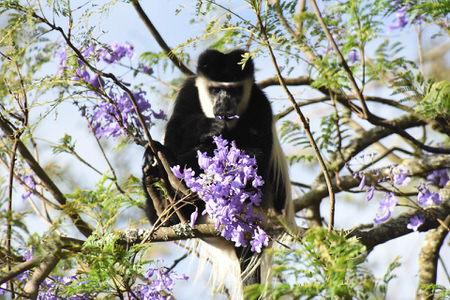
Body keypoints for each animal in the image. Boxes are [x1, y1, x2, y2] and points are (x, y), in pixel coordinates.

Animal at [142, 48, 294, 298]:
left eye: (233, 90)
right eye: (215, 90)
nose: (224, 104)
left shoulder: (260, 105)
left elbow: (258, 157)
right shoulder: (188, 94)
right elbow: (175, 139)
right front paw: (207, 129)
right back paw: (161, 197)